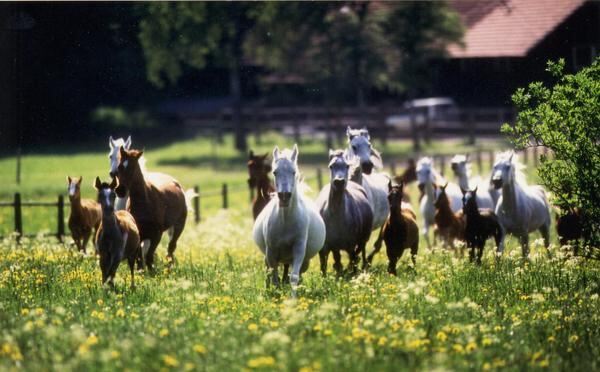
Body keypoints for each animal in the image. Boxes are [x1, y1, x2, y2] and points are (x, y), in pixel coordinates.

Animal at [253, 144, 328, 294]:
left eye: (294, 172)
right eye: (275, 172)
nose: (284, 196)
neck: (285, 221)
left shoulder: (298, 250)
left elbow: (294, 277)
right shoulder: (271, 252)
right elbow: (274, 277)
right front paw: (275, 294)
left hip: (303, 261)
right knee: (268, 272)